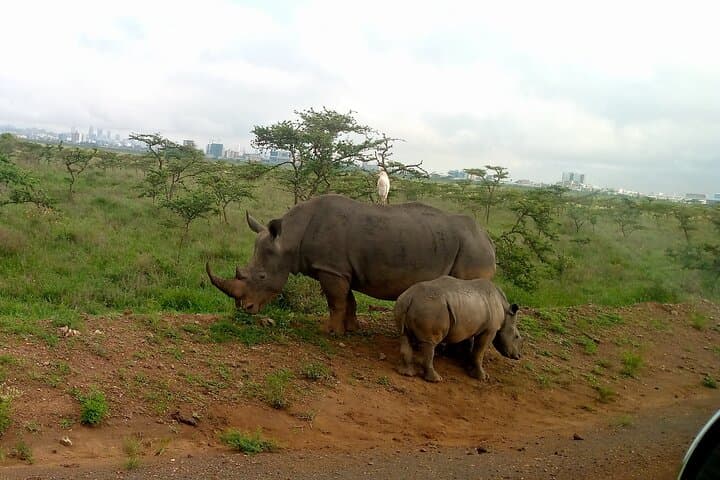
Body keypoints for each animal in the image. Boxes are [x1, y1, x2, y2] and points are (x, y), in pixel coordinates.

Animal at [206, 194, 496, 335]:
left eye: (262, 277)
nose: (245, 309)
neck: (289, 238)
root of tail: (487, 239)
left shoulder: (331, 268)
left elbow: (335, 301)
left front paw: (329, 332)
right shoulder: (341, 269)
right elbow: (349, 300)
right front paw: (352, 329)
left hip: (472, 251)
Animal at [394, 276, 522, 382]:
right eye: (517, 336)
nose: (519, 356)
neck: (506, 311)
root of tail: (410, 297)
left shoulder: (468, 326)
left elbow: (468, 344)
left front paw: (466, 364)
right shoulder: (490, 330)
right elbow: (479, 351)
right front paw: (482, 377)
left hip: (402, 303)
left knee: (404, 336)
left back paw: (406, 373)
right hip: (431, 308)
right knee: (429, 343)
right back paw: (436, 379)